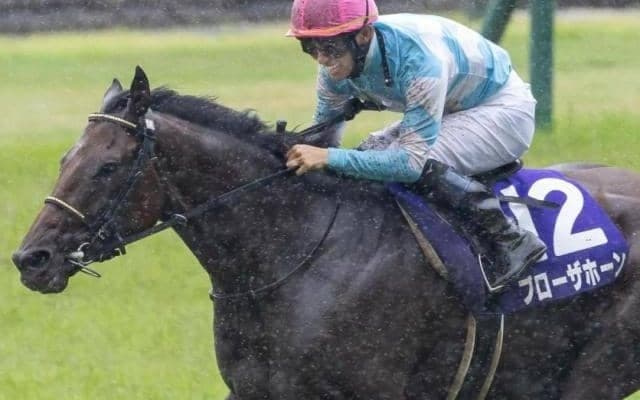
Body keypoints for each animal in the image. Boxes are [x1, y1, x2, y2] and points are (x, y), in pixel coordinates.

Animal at [12, 67, 640, 399]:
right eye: (66, 157)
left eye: (107, 166)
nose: (31, 259)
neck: (295, 254)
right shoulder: (253, 389)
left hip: (597, 372)